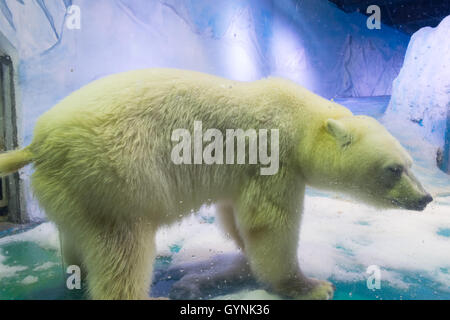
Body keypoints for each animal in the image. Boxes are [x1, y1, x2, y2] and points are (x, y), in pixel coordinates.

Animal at [0, 68, 430, 300]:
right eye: (395, 169)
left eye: (411, 164)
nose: (425, 198)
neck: (301, 119)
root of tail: (39, 142)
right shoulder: (273, 157)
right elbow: (270, 224)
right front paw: (312, 285)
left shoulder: (241, 171)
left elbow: (234, 215)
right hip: (115, 175)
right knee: (123, 250)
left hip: (74, 189)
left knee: (76, 237)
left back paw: (78, 273)